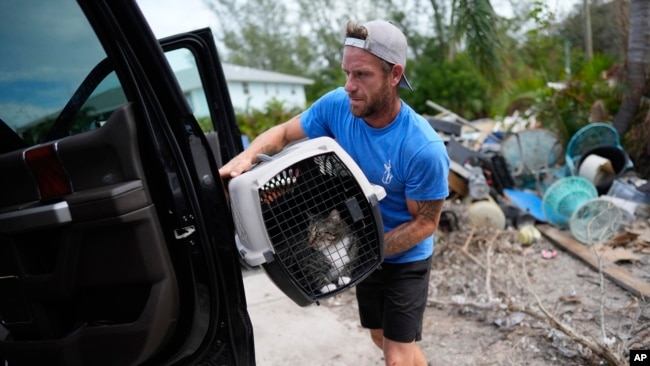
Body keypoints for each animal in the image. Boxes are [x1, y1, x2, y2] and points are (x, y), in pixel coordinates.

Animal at [229, 137, 384, 306]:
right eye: (308, 233)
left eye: (318, 233)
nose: (309, 242)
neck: (334, 248)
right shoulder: (307, 265)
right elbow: (317, 276)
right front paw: (328, 286)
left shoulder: (354, 252)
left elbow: (349, 264)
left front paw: (343, 277)